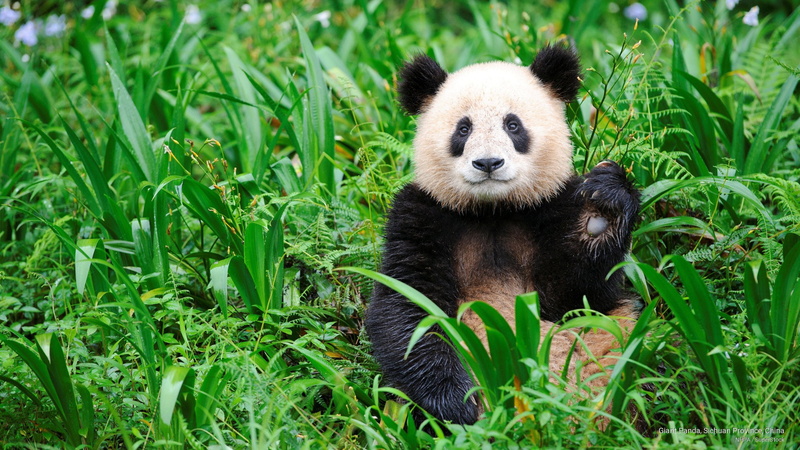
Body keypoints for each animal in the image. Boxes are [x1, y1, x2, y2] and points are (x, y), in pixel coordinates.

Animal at [365, 45, 641, 426]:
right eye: (463, 129)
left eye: (513, 125)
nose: (488, 163)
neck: (493, 211)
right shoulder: (420, 216)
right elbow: (407, 306)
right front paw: (457, 404)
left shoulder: (551, 208)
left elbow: (580, 296)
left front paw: (601, 210)